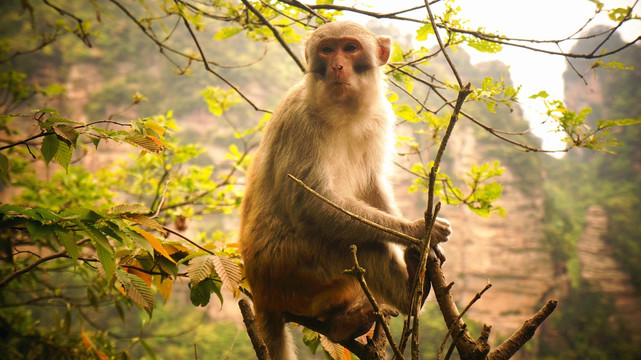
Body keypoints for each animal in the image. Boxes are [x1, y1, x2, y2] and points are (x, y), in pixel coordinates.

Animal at [238, 21, 452, 358]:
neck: (342, 109)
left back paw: (343, 323)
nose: (337, 66)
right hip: (290, 269)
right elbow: (308, 201)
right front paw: (417, 231)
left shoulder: (380, 116)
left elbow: (371, 185)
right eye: (327, 50)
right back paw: (409, 299)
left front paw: (419, 242)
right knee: (365, 247)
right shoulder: (301, 119)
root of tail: (261, 294)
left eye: (350, 48)